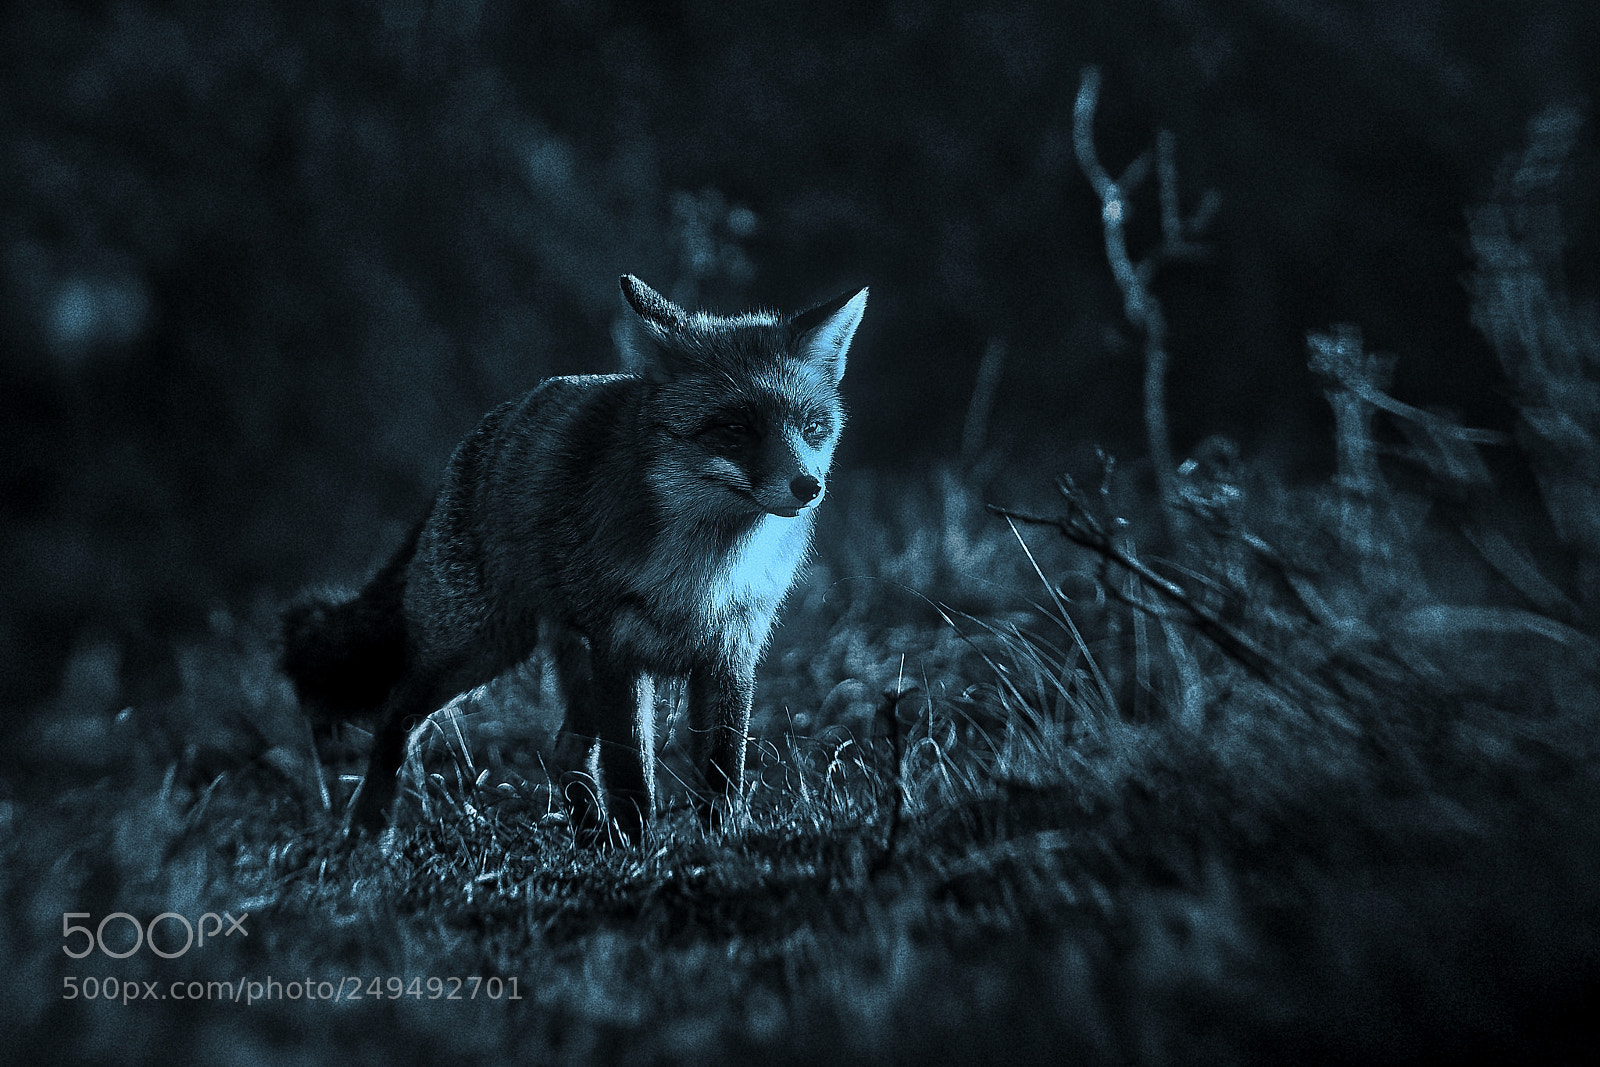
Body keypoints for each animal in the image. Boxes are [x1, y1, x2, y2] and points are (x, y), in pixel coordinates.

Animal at [279, 275, 866, 845]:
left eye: (813, 429)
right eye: (736, 429)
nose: (808, 486)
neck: (704, 570)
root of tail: (482, 436)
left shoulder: (730, 652)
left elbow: (722, 771)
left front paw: (722, 841)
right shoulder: (620, 649)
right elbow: (631, 771)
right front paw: (641, 850)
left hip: (567, 661)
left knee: (565, 752)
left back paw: (590, 834)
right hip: (480, 648)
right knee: (397, 715)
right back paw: (370, 828)